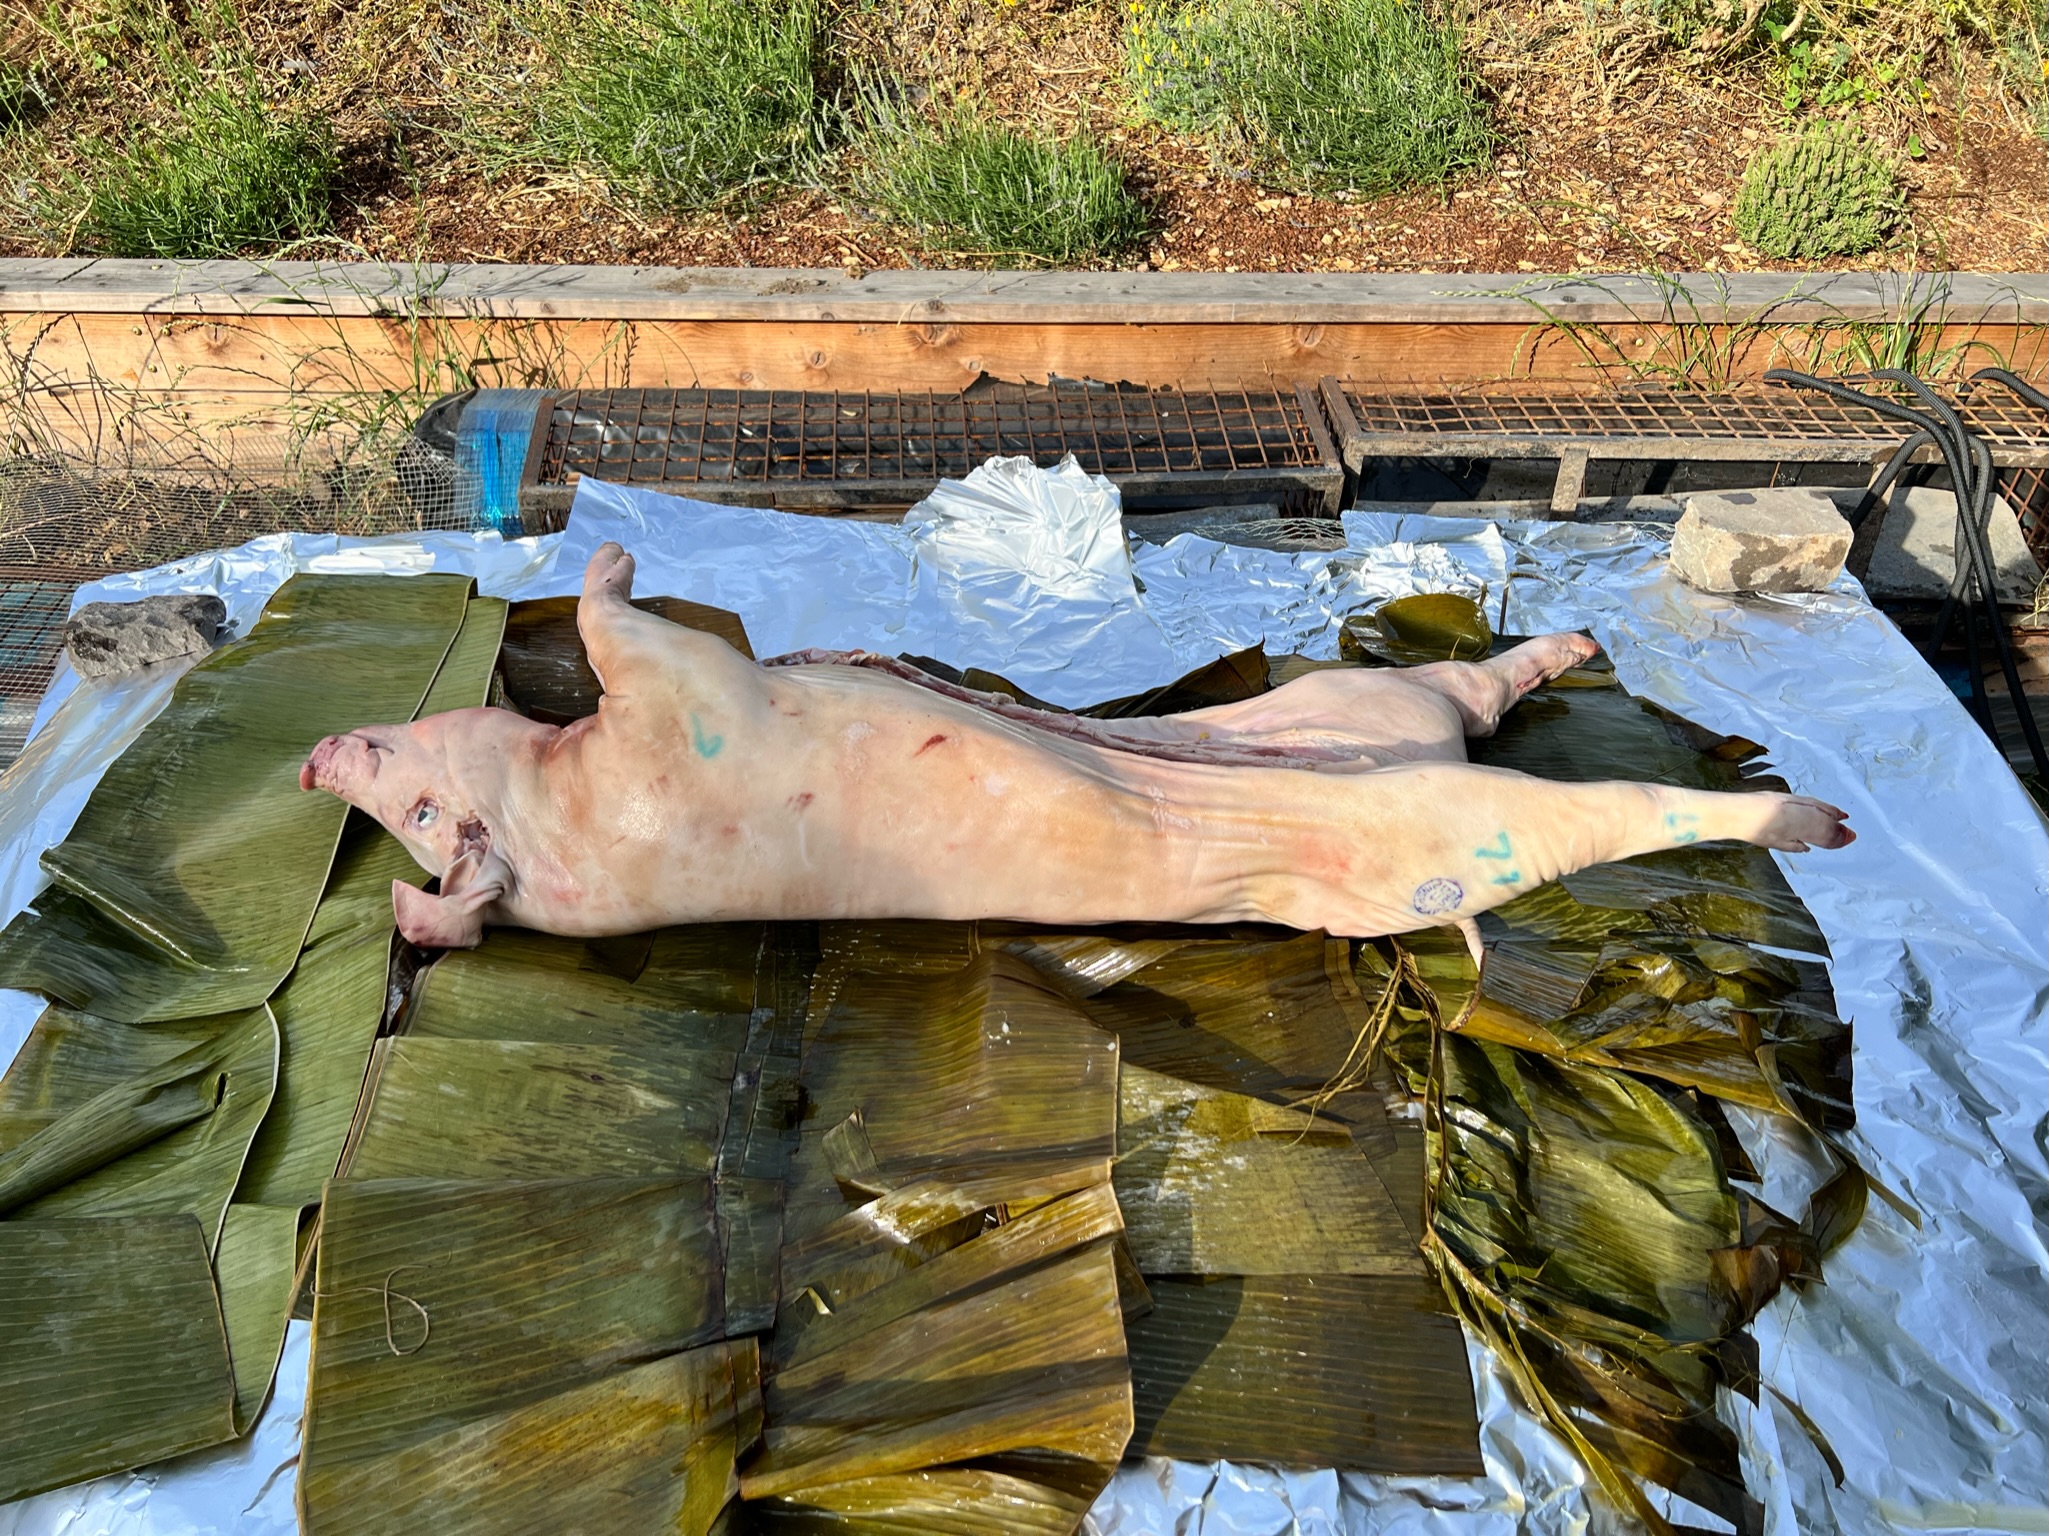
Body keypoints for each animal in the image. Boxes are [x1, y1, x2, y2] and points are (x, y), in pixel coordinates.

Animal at [300, 542, 1852, 951]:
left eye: (411, 801)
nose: (319, 756)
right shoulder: (683, 718)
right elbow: (618, 623)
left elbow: (618, 621)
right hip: (1406, 843)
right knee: (1565, 812)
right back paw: (1804, 823)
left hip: (1328, 715)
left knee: (1462, 688)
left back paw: (1575, 649)